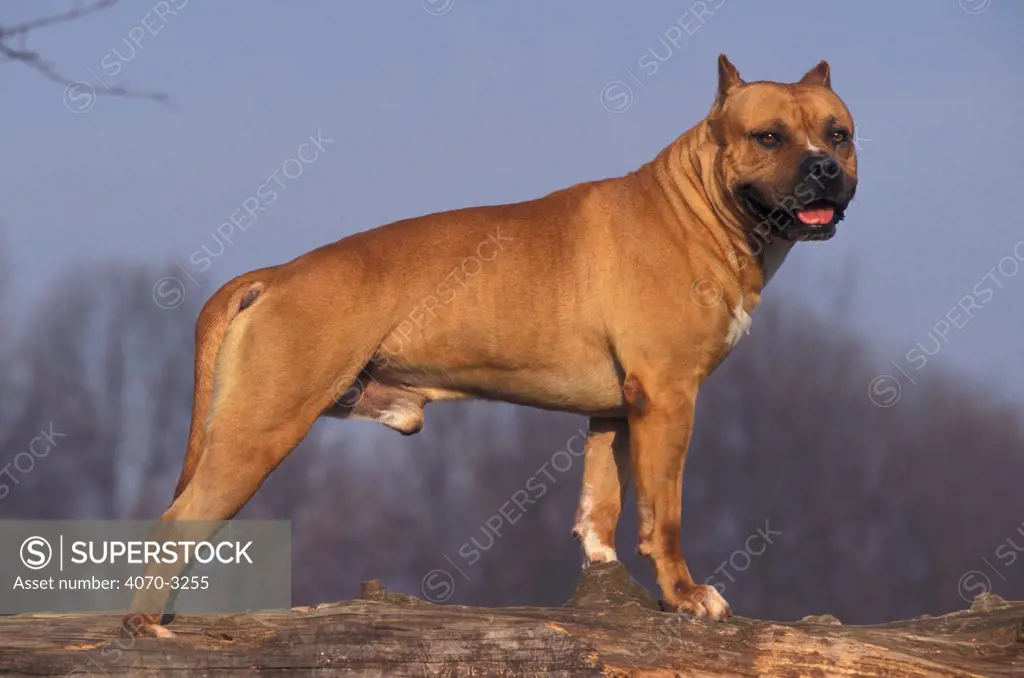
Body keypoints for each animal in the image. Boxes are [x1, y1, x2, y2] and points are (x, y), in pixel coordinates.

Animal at [125, 54, 856, 639]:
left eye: (839, 134)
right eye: (768, 137)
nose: (825, 168)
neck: (699, 208)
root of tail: (274, 274)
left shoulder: (622, 408)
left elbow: (604, 498)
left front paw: (602, 563)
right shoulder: (670, 397)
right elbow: (663, 511)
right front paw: (684, 595)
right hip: (259, 429)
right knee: (175, 522)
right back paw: (146, 624)